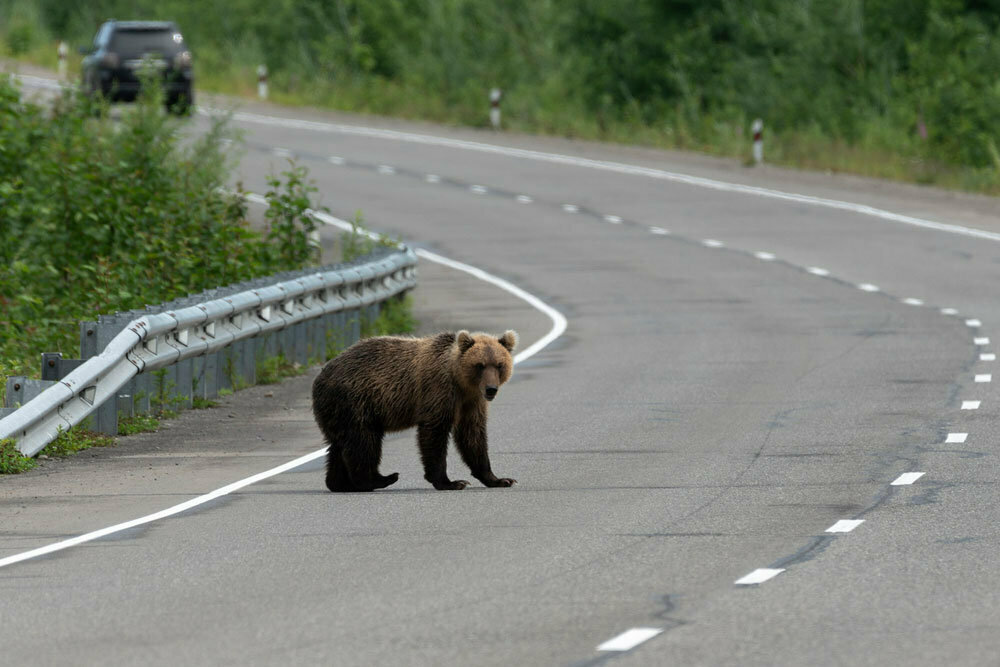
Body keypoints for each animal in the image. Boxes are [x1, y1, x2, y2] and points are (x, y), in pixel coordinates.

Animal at [311, 329, 519, 492]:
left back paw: (340, 484)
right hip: (355, 401)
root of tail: (319, 379)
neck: (461, 382)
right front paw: (451, 482)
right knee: (363, 441)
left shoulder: (471, 403)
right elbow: (434, 432)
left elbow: (473, 436)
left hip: (338, 411)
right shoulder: (438, 391)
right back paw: (378, 480)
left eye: (499, 365)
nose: (491, 389)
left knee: (340, 445)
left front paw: (500, 479)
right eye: (480, 365)